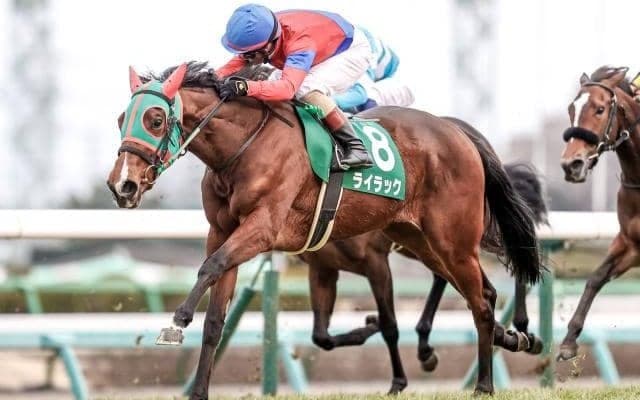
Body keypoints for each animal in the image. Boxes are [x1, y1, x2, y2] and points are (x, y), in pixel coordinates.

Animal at [301, 161, 547, 393]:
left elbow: (390, 326)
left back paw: (522, 327)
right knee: (455, 279)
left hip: (460, 234)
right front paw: (371, 325)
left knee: (517, 250)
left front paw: (398, 381)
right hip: (422, 243)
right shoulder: (322, 268)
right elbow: (320, 336)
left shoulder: (375, 262)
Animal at [559, 65, 640, 361]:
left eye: (600, 109)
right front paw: (569, 341)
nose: (571, 165)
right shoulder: (630, 244)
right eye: (571, 108)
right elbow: (595, 278)